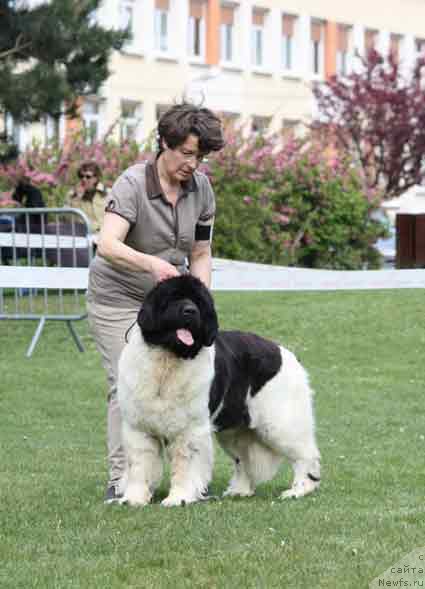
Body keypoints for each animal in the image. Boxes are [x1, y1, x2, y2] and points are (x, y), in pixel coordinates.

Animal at [117, 276, 320, 506]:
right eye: (173, 298)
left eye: (198, 302)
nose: (190, 311)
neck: (168, 361)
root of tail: (288, 354)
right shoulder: (137, 427)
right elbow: (139, 464)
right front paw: (133, 499)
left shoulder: (190, 429)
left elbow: (185, 465)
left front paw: (179, 498)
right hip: (236, 431)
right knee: (243, 458)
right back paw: (240, 490)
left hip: (280, 423)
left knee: (305, 455)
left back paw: (299, 490)